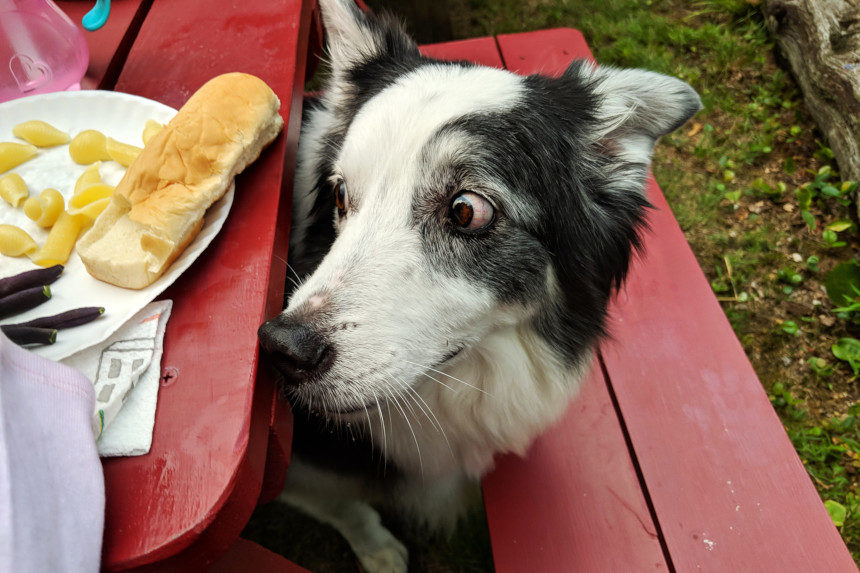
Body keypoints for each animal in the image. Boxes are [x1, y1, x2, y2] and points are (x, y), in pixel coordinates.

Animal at [258, 0, 704, 568]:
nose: (281, 349)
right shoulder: (299, 465)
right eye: (339, 195)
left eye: (466, 211)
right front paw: (379, 550)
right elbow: (343, 505)